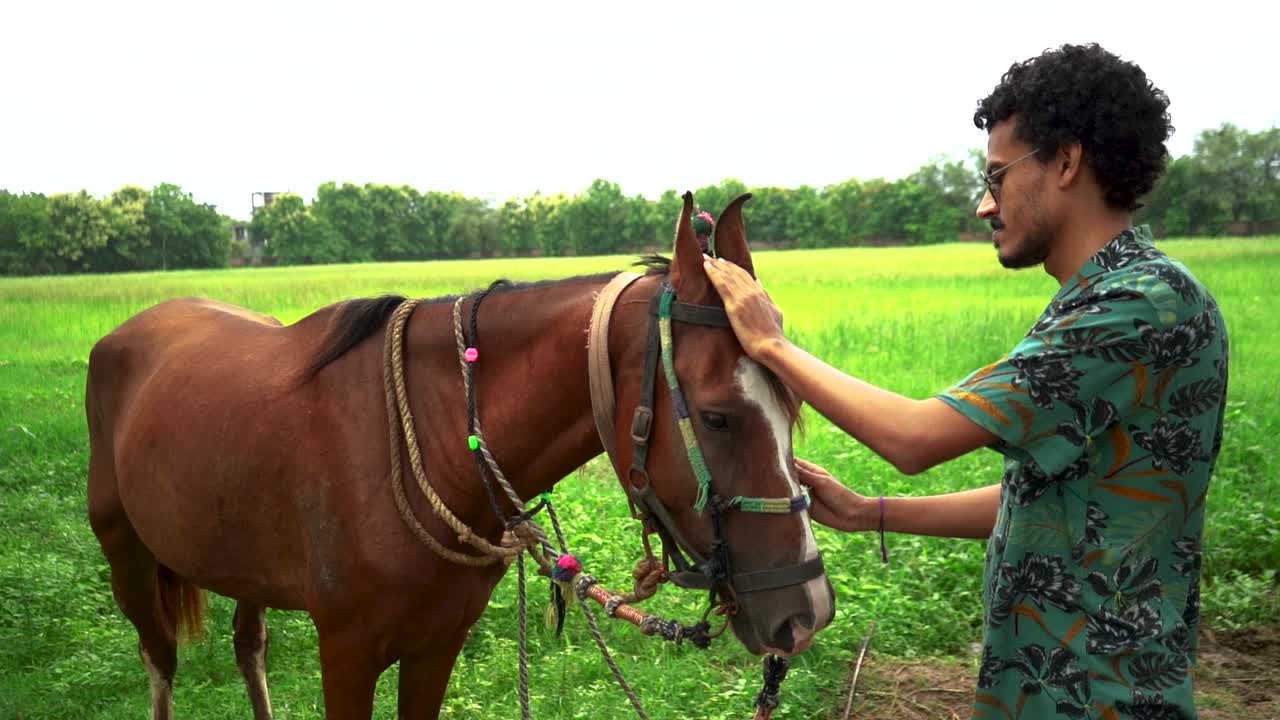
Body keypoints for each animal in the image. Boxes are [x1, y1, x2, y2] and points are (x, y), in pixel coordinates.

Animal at [85, 192, 835, 719]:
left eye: (793, 404)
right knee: (161, 662)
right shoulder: (347, 652)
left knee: (250, 650)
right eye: (716, 416)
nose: (807, 613)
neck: (436, 444)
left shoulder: (436, 646)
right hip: (126, 555)